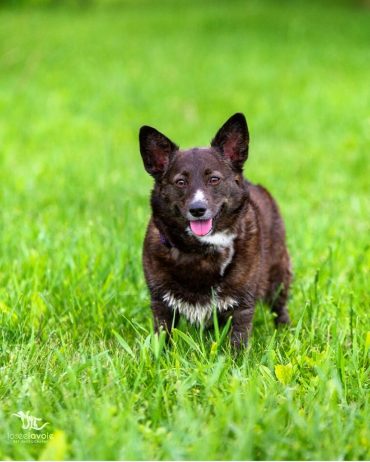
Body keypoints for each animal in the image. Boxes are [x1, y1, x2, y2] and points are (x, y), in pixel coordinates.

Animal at [139, 113, 292, 348]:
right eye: (180, 182)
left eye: (214, 179)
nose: (197, 209)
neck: (200, 251)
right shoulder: (161, 304)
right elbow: (163, 338)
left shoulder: (241, 308)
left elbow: (237, 344)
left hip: (278, 276)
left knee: (280, 307)